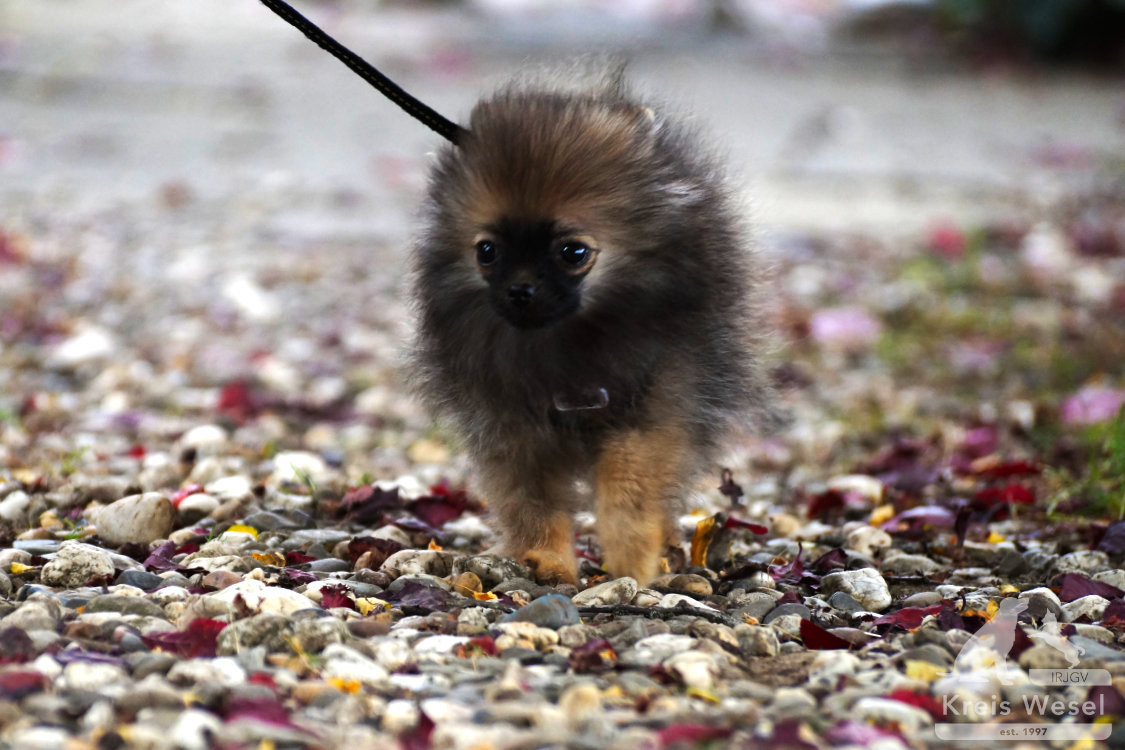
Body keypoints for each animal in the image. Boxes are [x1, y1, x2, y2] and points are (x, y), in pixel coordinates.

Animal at [414, 70, 774, 584]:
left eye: (573, 252)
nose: (519, 290)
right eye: (487, 251)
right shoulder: (509, 423)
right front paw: (546, 558)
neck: (566, 347)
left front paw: (631, 555)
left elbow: (629, 481)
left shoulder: (658, 403)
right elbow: (531, 499)